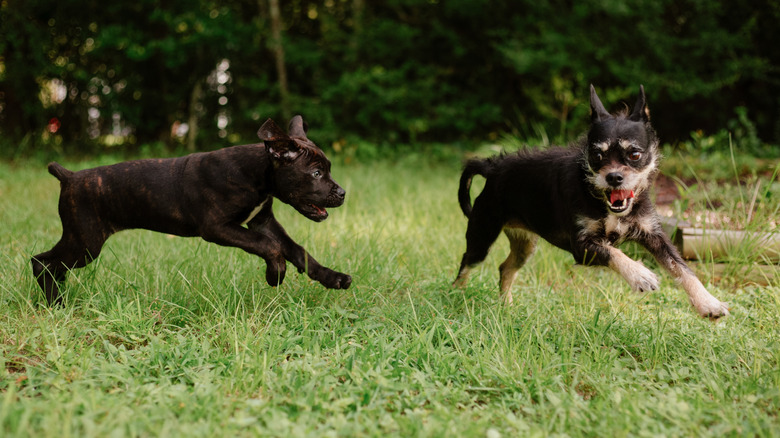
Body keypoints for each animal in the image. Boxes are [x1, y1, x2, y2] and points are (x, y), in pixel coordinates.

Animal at [32, 115, 352, 304]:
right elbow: (269, 246)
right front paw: (275, 273)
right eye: (316, 174)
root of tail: (70, 177)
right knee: (42, 262)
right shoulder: (218, 227)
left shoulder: (262, 221)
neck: (256, 173)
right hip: (85, 241)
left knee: (53, 265)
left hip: (81, 241)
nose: (342, 193)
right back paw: (56, 304)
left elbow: (297, 250)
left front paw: (332, 277)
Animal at [454, 85, 728, 318]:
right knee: (466, 264)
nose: (614, 177)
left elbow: (682, 268)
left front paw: (709, 303)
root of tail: (493, 167)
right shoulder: (582, 245)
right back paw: (456, 296)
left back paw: (507, 307)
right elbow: (614, 251)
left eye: (634, 154)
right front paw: (640, 274)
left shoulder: (655, 236)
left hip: (525, 245)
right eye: (597, 155)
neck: (603, 202)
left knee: (505, 268)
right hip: (482, 236)